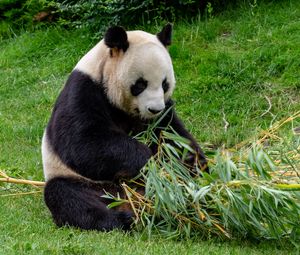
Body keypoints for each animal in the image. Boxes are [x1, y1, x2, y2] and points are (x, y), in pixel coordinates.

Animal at [42, 24, 207, 231]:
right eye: (140, 84)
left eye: (164, 84)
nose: (154, 109)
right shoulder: (83, 90)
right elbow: (83, 142)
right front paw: (148, 160)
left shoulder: (162, 114)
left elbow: (173, 136)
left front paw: (189, 162)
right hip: (87, 183)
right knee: (69, 196)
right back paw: (124, 218)